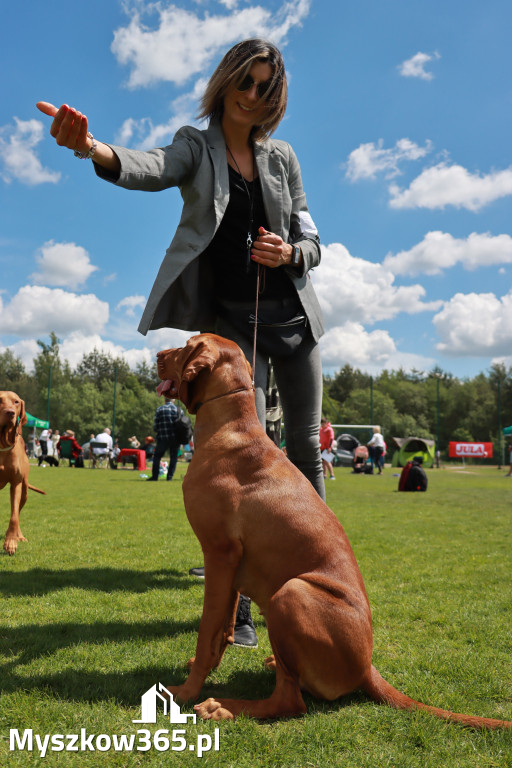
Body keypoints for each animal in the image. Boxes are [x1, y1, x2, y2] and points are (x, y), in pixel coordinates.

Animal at [0, 392, 44, 556]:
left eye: (16, 402)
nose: (10, 413)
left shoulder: (16, 484)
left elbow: (14, 517)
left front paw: (10, 542)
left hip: (24, 490)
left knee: (17, 512)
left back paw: (18, 536)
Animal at [157, 334, 512, 728]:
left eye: (186, 345)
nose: (157, 355)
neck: (230, 427)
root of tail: (366, 669)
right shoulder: (232, 565)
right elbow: (224, 629)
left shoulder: (219, 554)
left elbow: (207, 631)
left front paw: (187, 690)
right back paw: (266, 667)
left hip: (290, 593)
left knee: (290, 702)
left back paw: (224, 705)